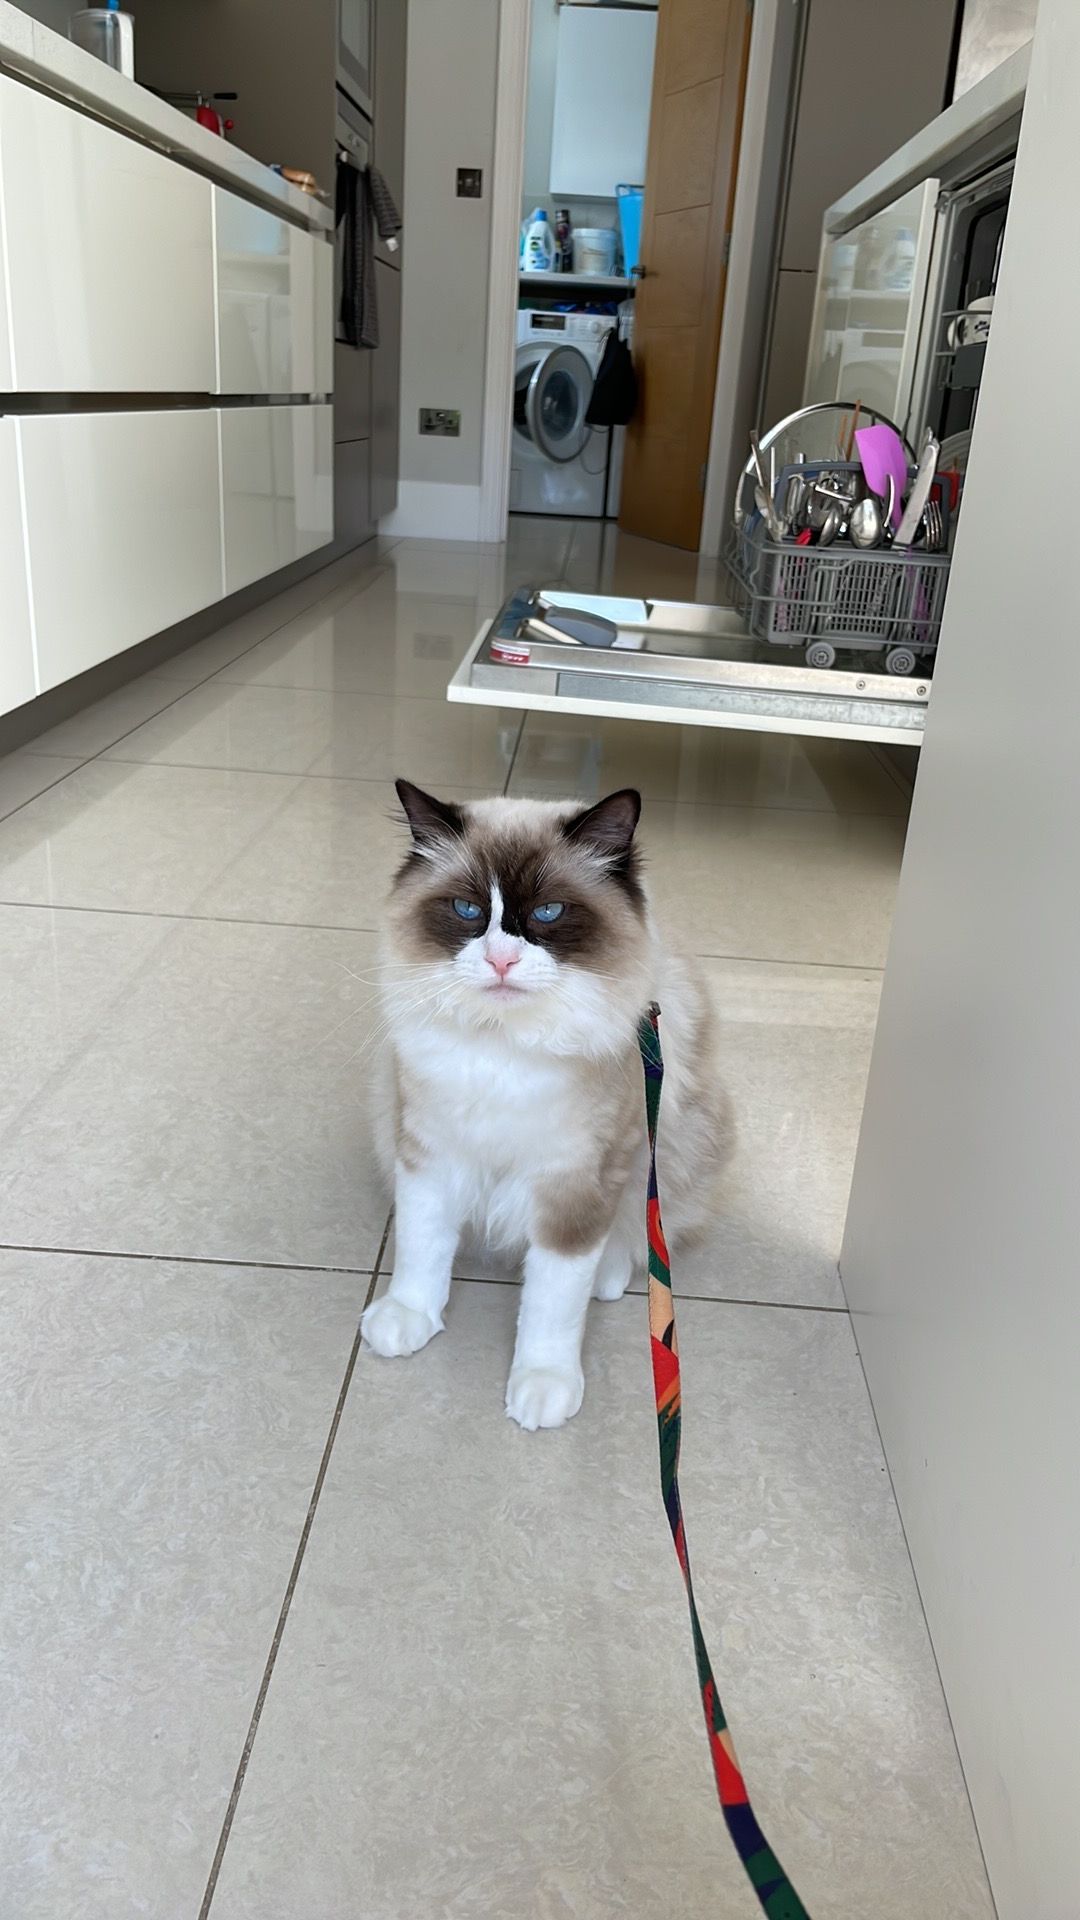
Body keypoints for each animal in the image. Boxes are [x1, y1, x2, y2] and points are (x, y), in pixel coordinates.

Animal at [361, 779, 732, 1430]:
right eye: (467, 911)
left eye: (548, 913)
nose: (501, 960)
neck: (503, 1047)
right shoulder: (429, 1155)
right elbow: (420, 1250)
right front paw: (408, 1317)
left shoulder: (575, 1185)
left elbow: (553, 1305)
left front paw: (542, 1386)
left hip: (664, 1152)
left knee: (636, 1241)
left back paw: (608, 1278)